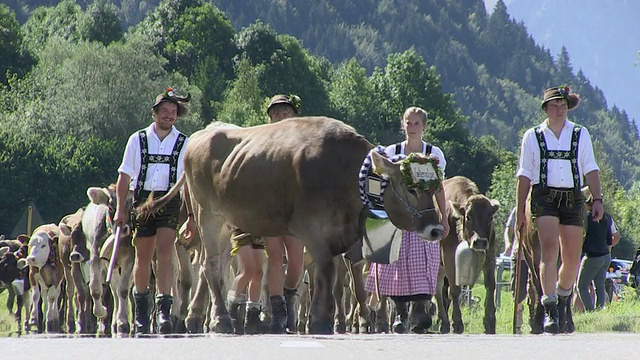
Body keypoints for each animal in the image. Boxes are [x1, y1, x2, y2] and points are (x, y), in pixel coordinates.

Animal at [138, 118, 442, 334]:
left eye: (435, 186)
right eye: (411, 188)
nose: (436, 229)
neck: (344, 172)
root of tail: (201, 136)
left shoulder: (339, 242)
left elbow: (333, 282)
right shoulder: (317, 235)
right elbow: (325, 277)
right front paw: (321, 322)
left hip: (227, 223)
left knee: (215, 268)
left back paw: (208, 319)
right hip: (209, 218)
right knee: (211, 268)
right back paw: (222, 320)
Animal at [436, 177, 500, 334]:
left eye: (490, 218)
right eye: (469, 217)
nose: (480, 242)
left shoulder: (490, 258)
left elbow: (490, 286)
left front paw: (490, 322)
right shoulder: (449, 260)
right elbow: (455, 289)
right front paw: (457, 322)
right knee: (438, 291)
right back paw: (444, 322)